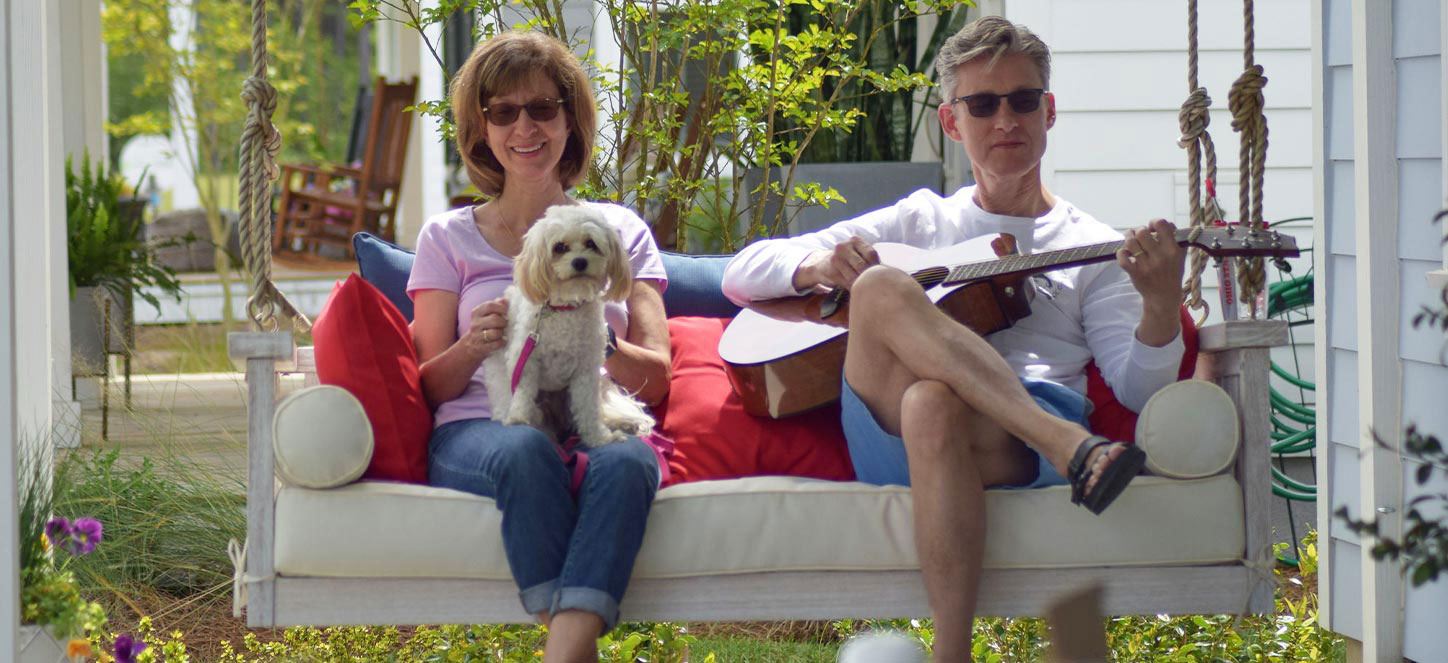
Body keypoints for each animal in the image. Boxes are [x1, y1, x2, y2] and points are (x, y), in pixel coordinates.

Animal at [486, 204, 657, 448]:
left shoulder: (586, 370)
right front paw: (519, 418)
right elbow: (522, 393)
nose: (579, 262)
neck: (565, 308)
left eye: (591, 243)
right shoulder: (526, 361)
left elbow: (588, 408)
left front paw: (598, 437)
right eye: (559, 247)